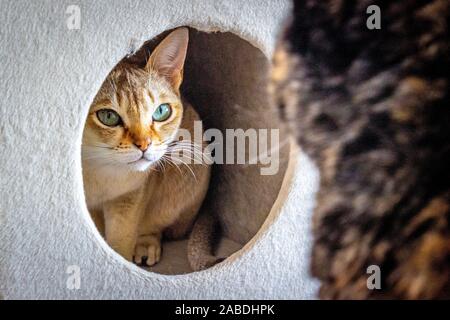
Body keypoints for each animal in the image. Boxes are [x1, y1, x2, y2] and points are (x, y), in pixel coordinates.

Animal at [83, 28, 220, 272]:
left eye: (161, 111)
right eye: (108, 116)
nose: (144, 145)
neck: (100, 170)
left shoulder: (130, 196)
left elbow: (121, 241)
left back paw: (146, 244)